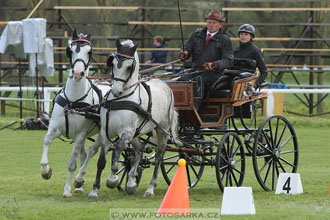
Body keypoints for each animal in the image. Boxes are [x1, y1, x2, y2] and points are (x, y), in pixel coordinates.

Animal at [40, 29, 108, 198]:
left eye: (89, 51)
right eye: (70, 50)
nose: (77, 73)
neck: (73, 101)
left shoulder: (79, 135)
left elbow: (72, 164)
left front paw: (67, 190)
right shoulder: (55, 129)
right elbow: (46, 140)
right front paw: (45, 171)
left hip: (102, 134)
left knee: (92, 151)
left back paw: (79, 179)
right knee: (84, 154)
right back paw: (79, 185)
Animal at [75, 38, 179, 199]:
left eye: (129, 67)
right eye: (112, 63)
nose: (116, 91)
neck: (121, 99)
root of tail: (165, 86)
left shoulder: (126, 132)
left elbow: (118, 148)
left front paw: (112, 179)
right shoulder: (106, 132)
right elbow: (101, 160)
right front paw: (94, 190)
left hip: (161, 131)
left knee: (158, 157)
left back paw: (150, 188)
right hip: (137, 133)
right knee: (139, 149)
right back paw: (131, 183)